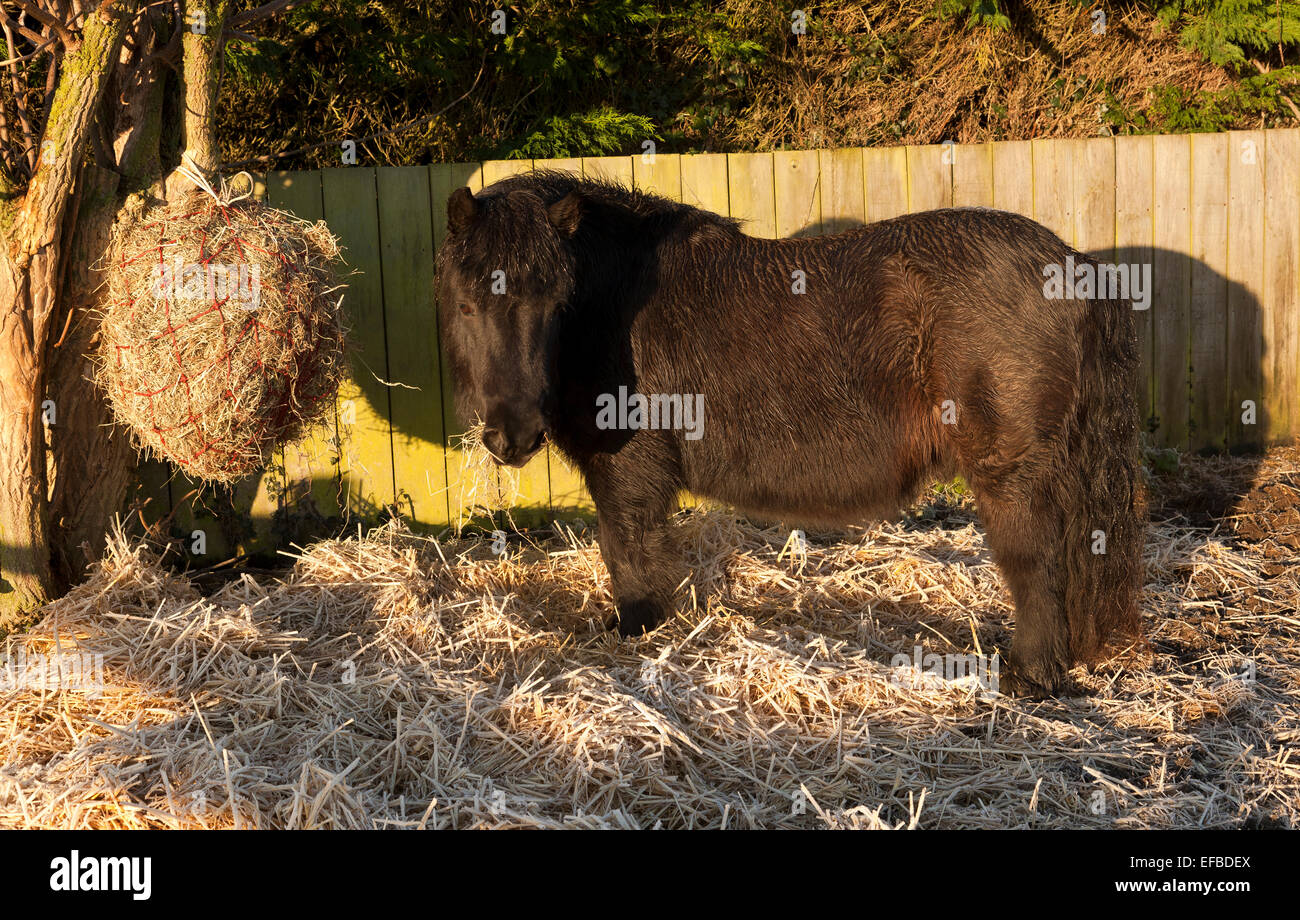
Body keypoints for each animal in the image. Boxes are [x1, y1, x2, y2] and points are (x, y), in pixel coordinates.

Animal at [439, 168, 1149, 691]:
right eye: (468, 302)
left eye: (556, 303)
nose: (513, 435)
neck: (614, 310)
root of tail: (1074, 266)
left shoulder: (628, 474)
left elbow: (630, 556)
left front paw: (638, 633)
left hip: (1013, 475)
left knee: (1036, 561)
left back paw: (1032, 675)